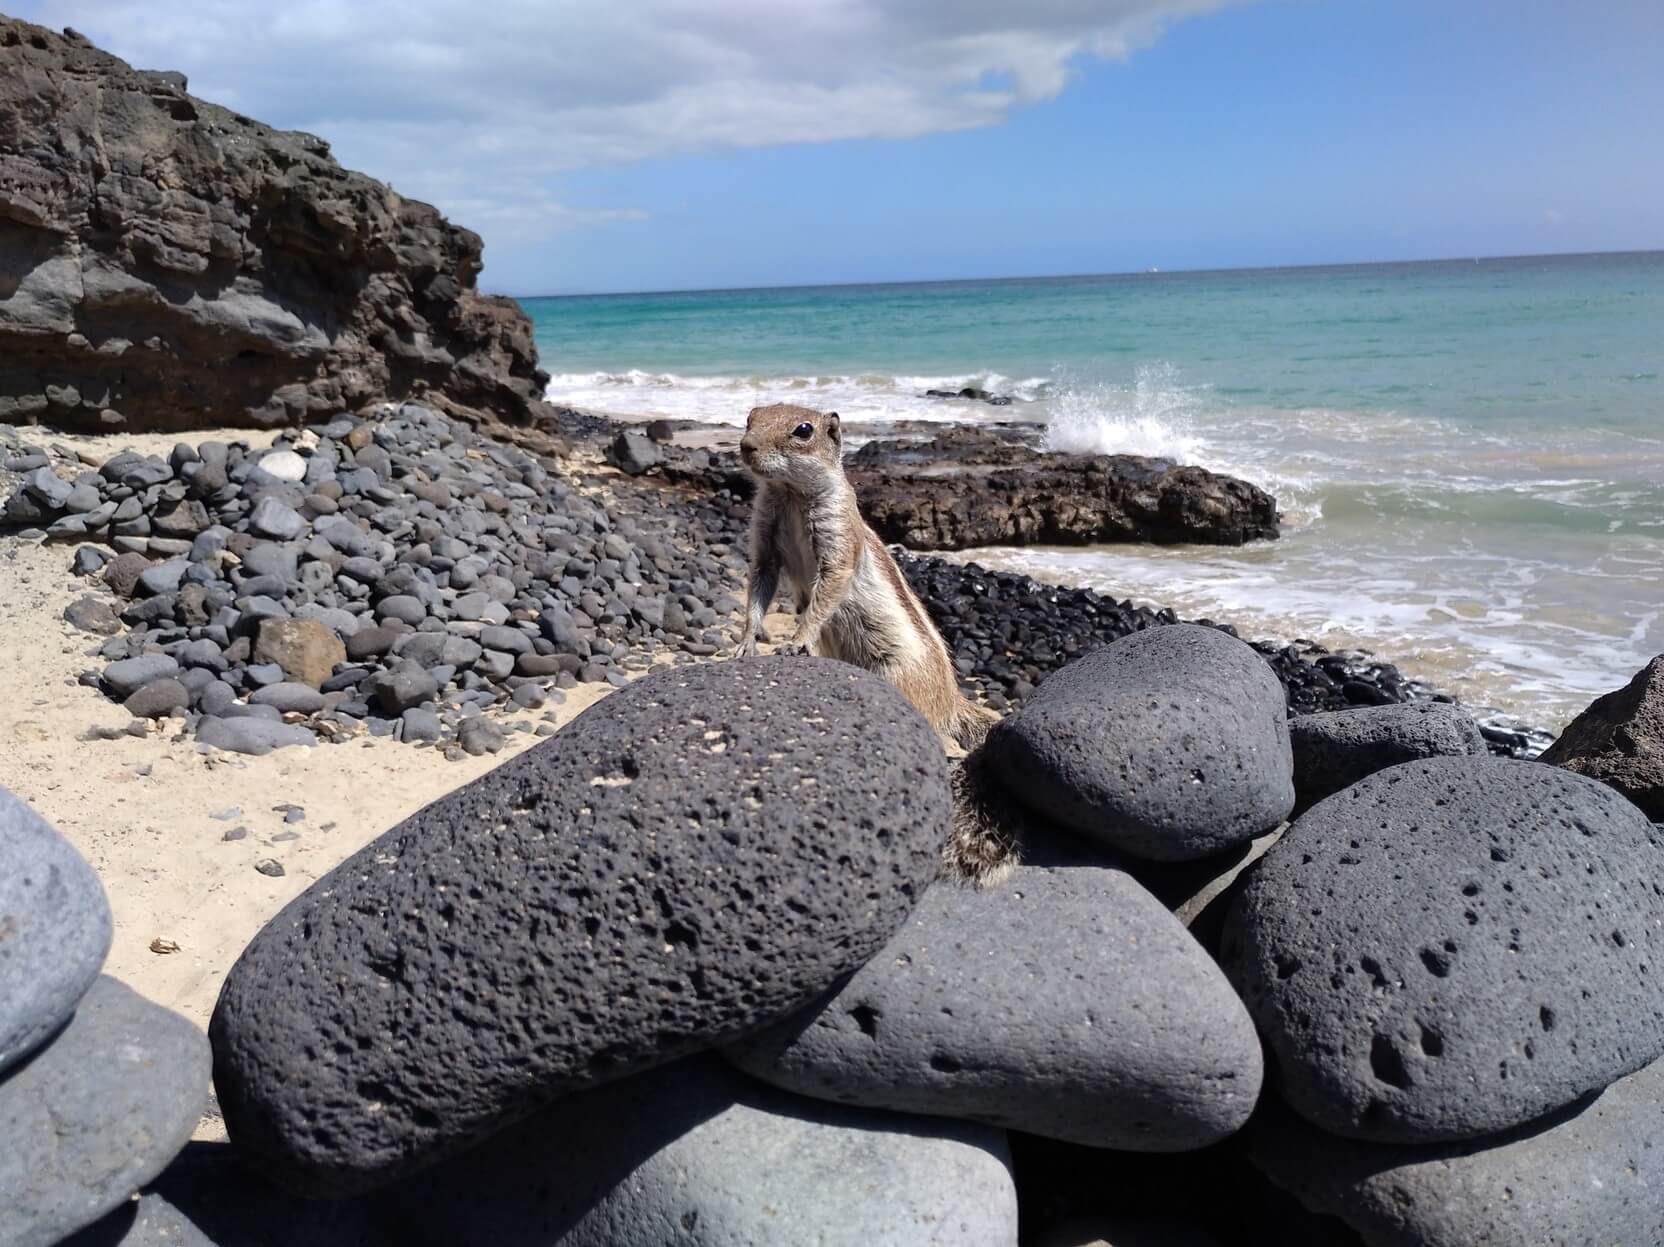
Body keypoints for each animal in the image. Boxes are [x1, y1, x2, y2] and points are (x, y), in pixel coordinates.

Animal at [742, 404, 1011, 879]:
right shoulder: (765, 540)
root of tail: (952, 698)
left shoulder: (838, 543)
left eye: (803, 430)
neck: (789, 493)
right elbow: (759, 583)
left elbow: (826, 593)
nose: (745, 447)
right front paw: (745, 641)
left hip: (900, 679)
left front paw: (797, 640)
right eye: (750, 417)